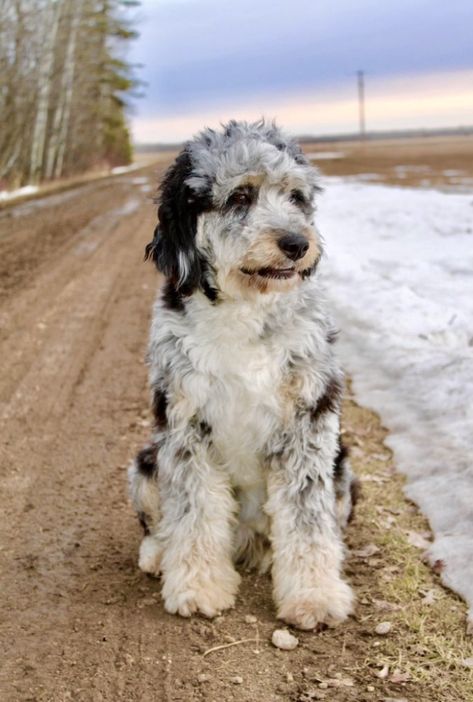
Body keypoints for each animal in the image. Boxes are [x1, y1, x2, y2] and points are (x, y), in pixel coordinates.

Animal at [127, 121, 356, 632]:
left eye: (296, 196)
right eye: (239, 197)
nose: (297, 244)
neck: (246, 309)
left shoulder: (308, 422)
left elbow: (308, 520)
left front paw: (313, 596)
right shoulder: (184, 425)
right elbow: (193, 514)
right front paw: (197, 588)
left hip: (343, 470)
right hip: (146, 461)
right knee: (159, 523)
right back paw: (159, 554)